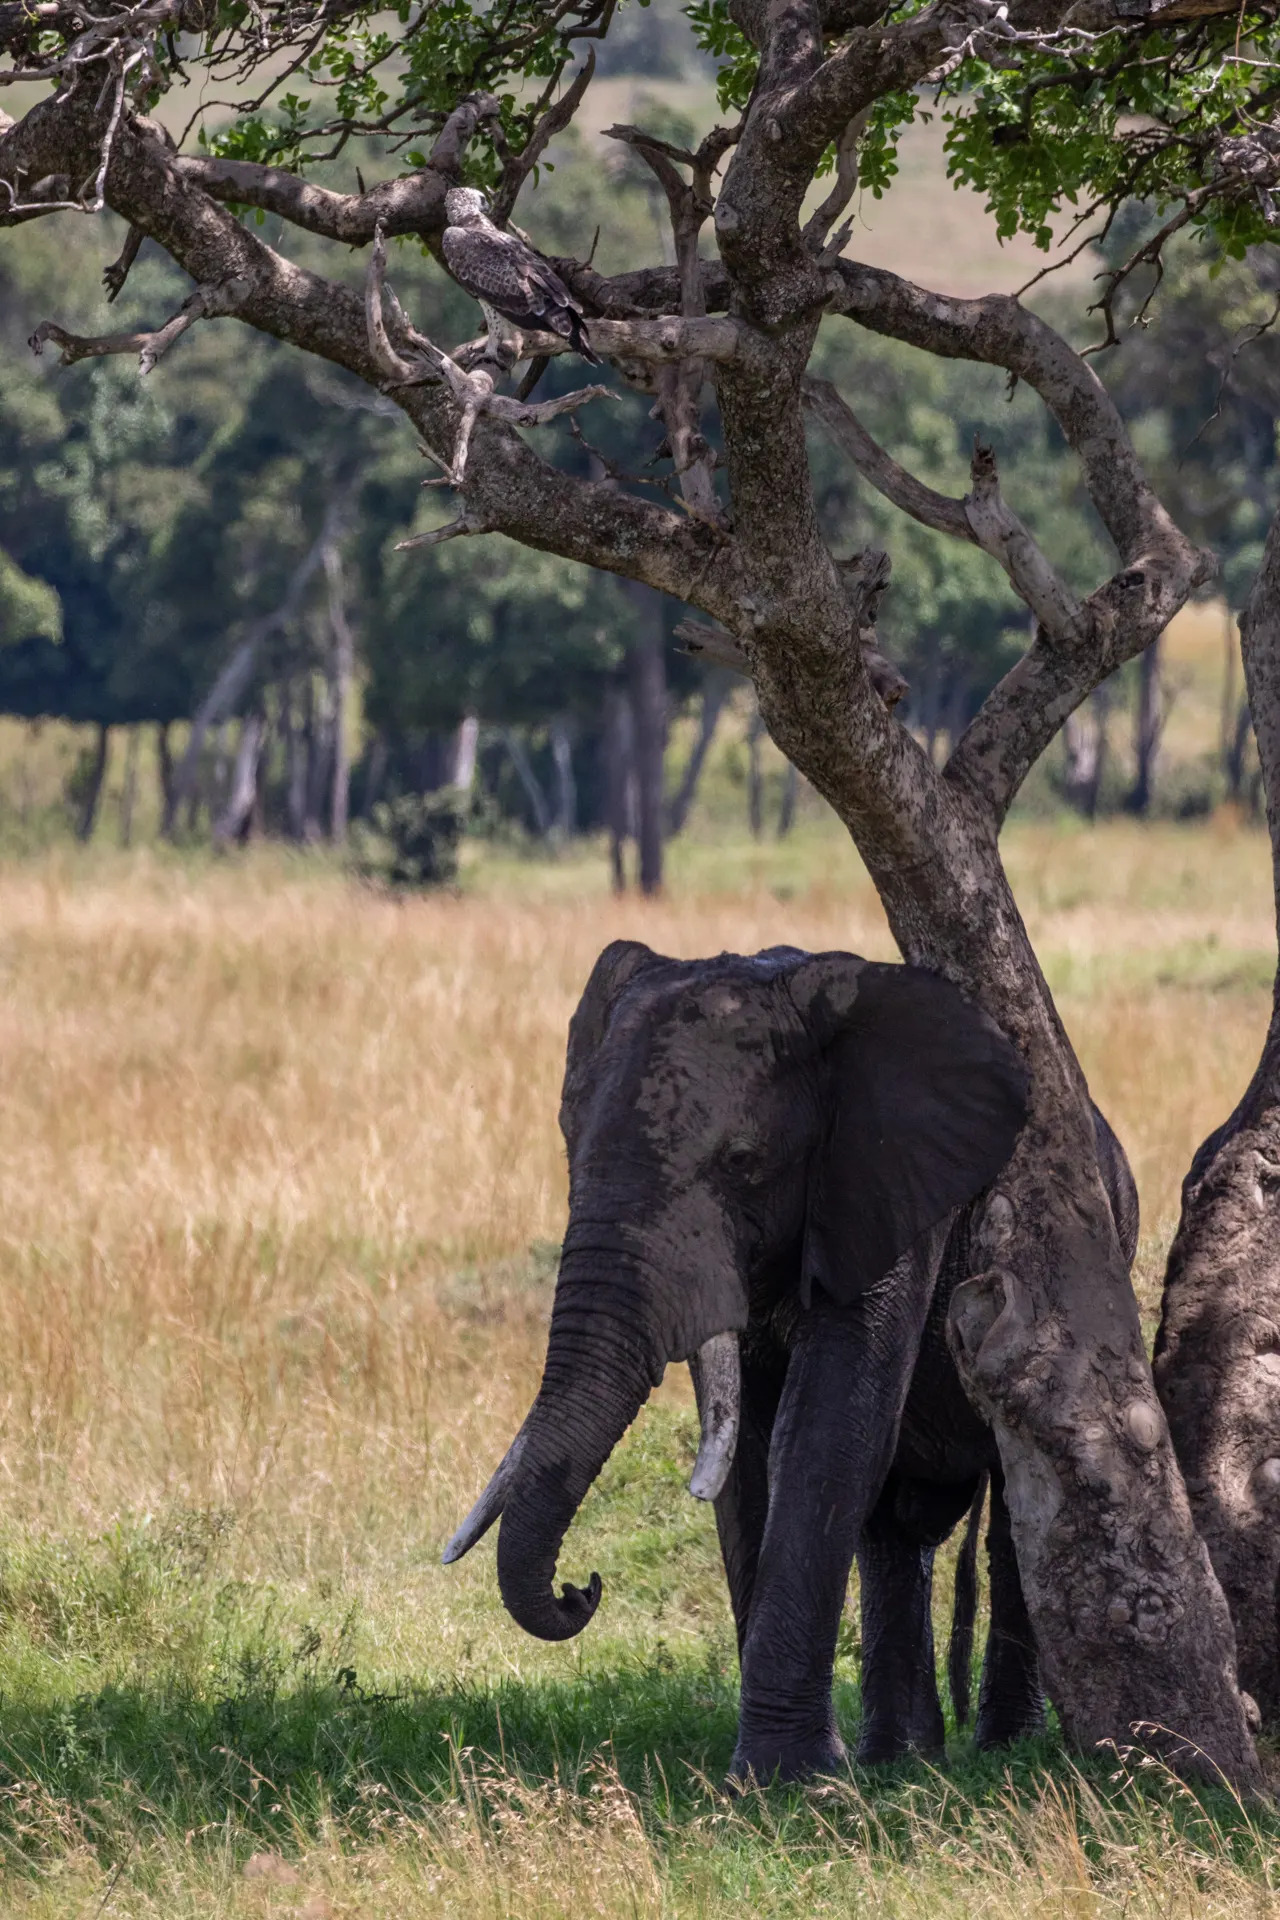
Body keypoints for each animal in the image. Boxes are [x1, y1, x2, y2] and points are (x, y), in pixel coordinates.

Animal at [443, 944, 1143, 1781]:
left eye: (744, 1161)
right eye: (570, 1149)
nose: (581, 1588)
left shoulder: (890, 1183)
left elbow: (822, 1432)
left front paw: (790, 1782)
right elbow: (748, 1458)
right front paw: (789, 1773)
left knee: (1016, 1508)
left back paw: (1001, 1749)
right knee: (891, 1530)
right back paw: (898, 1761)